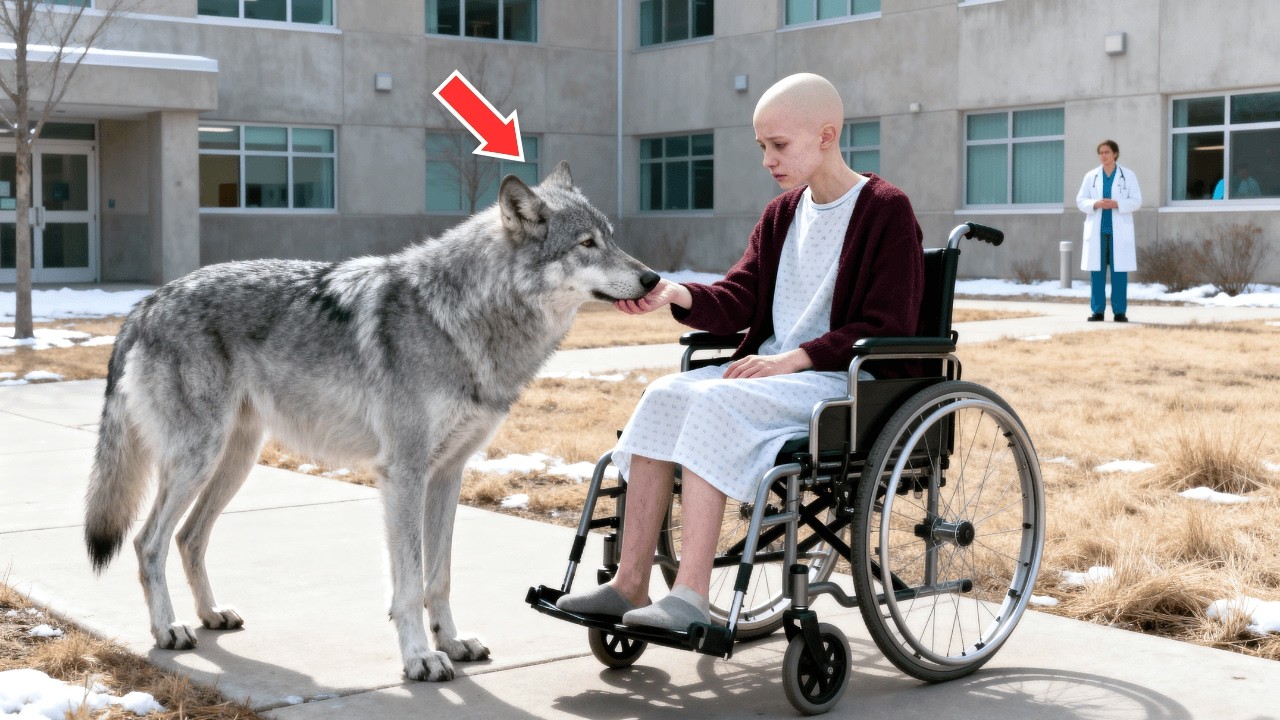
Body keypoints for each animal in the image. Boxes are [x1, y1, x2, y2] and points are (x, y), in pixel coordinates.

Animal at [84, 161, 658, 681]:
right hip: (198, 460)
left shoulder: (448, 475)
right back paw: (168, 630)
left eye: (611, 237)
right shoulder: (403, 474)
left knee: (189, 538)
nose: (654, 277)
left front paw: (452, 642)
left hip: (234, 463)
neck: (459, 319)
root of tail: (146, 303)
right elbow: (409, 584)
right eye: (586, 244)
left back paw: (211, 615)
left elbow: (439, 577)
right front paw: (421, 658)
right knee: (148, 542)